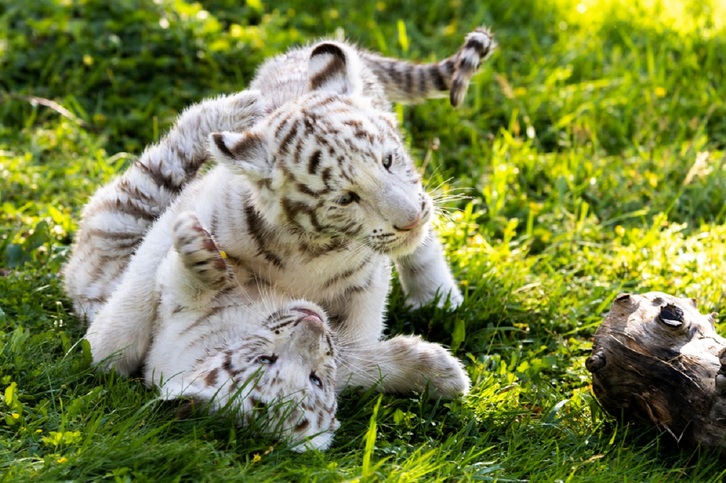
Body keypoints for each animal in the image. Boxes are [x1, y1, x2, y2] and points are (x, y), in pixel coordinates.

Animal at [63, 27, 496, 450]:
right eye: (346, 197)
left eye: (388, 161)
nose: (410, 221)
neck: (307, 249)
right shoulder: (191, 213)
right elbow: (136, 295)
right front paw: (103, 348)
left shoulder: (366, 281)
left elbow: (357, 339)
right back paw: (238, 109)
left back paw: (438, 296)